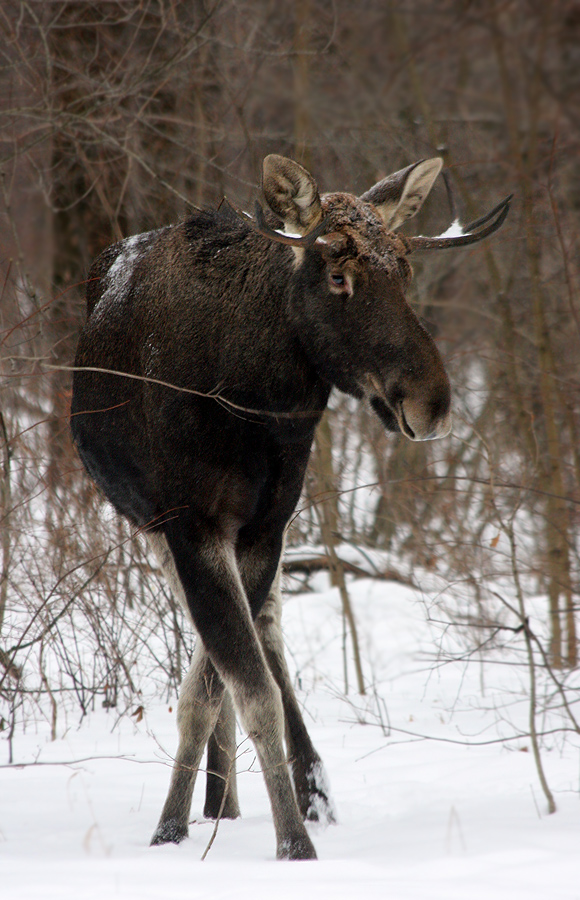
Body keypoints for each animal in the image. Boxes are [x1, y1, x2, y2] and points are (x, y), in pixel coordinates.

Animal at [70, 153, 510, 856]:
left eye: (406, 271)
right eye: (337, 275)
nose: (432, 401)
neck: (254, 398)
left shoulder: (264, 528)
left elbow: (220, 685)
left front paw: (267, 820)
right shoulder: (190, 526)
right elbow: (238, 691)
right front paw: (253, 839)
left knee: (265, 637)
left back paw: (256, 796)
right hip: (150, 525)